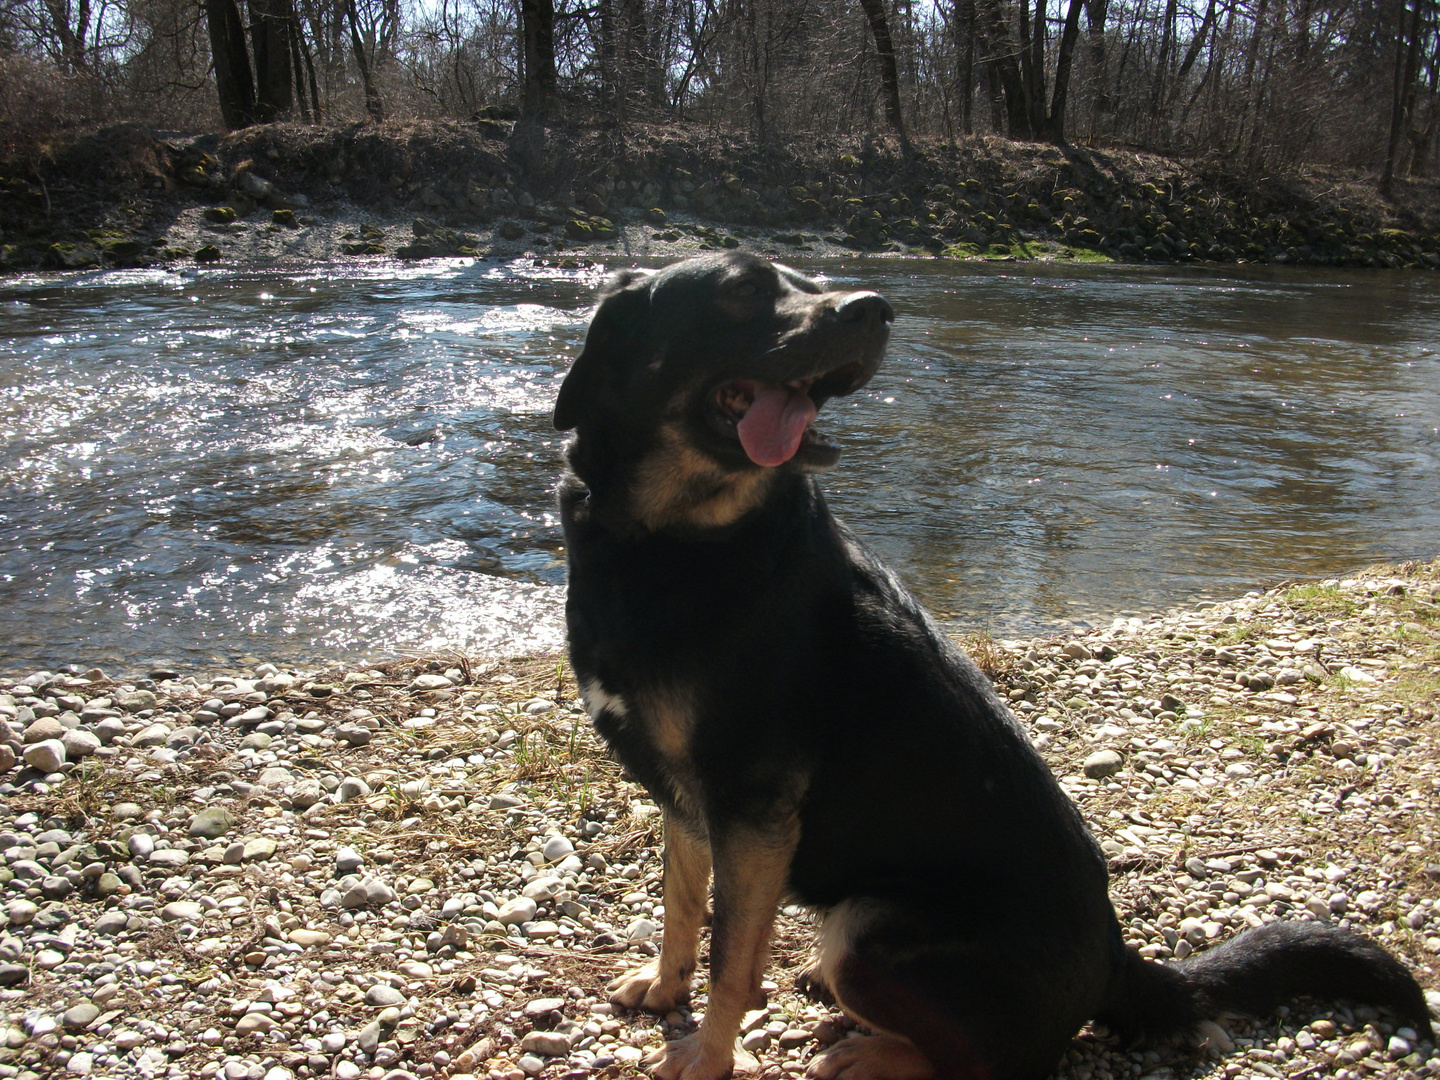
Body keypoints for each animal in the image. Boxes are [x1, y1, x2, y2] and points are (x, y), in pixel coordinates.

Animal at [550, 256, 1428, 1080]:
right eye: (741, 289)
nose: (877, 308)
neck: (674, 538)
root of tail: (1118, 962)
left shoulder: (751, 809)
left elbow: (732, 954)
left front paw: (709, 1054)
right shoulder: (688, 802)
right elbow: (681, 907)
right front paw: (666, 988)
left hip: (867, 926)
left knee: (990, 1059)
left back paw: (871, 1051)